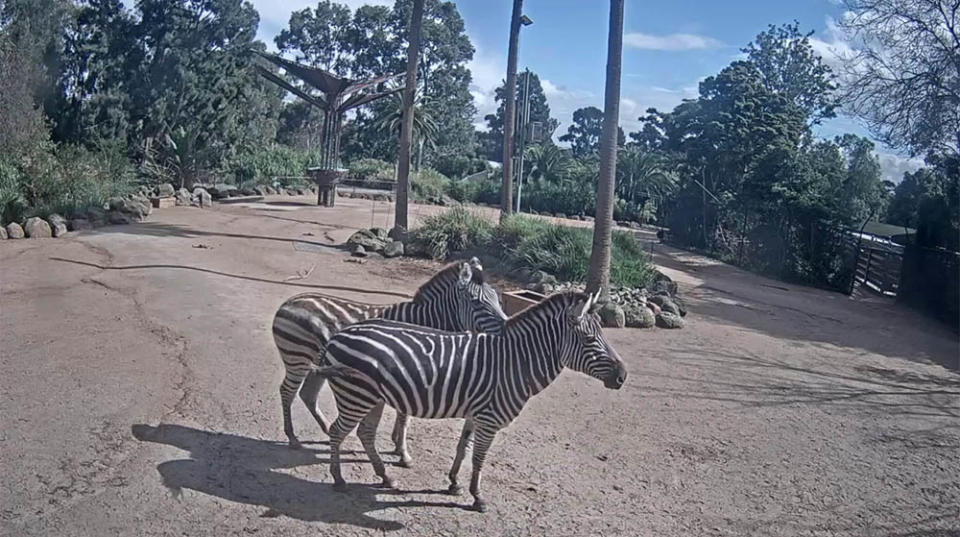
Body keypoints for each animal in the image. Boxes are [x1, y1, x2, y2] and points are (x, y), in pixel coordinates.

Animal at [270, 258, 510, 462]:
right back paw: (293, 437)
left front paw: (396, 445)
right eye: (477, 303)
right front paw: (402, 452)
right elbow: (405, 417)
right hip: (298, 359)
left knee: (307, 394)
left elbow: (404, 415)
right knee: (288, 391)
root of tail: (288, 302)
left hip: (319, 364)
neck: (427, 321)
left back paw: (326, 430)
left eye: (498, 300)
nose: (507, 328)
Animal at [316, 288, 632, 510]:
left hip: (372, 397)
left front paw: (454, 483)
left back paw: (385, 477)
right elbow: (479, 457)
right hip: (356, 395)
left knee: (365, 434)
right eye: (590, 340)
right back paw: (339, 479)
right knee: (337, 431)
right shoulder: (490, 418)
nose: (623, 376)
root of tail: (338, 335)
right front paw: (477, 496)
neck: (515, 362)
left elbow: (463, 447)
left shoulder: (476, 413)